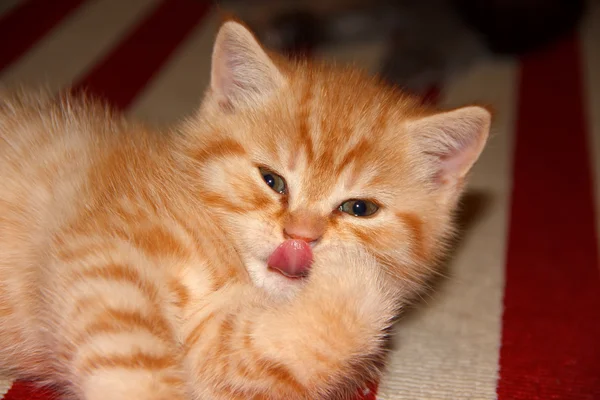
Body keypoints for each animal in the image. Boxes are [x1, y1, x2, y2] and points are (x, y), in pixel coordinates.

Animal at [0, 20, 488, 400]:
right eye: (272, 180)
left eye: (359, 208)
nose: (301, 236)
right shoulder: (105, 253)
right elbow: (131, 355)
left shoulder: (213, 347)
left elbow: (271, 354)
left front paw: (358, 282)